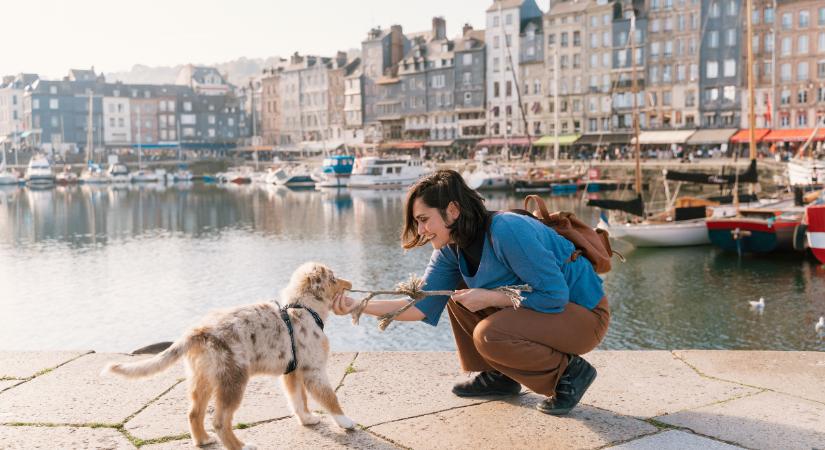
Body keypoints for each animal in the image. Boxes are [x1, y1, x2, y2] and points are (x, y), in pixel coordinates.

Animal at [104, 262, 354, 450]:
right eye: (334, 278)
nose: (350, 283)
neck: (302, 309)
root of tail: (199, 331)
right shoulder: (314, 370)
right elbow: (330, 397)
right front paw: (345, 422)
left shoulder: (292, 373)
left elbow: (298, 400)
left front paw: (307, 419)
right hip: (233, 380)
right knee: (220, 421)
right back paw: (241, 446)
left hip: (203, 378)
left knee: (194, 413)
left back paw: (203, 440)